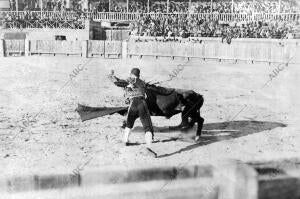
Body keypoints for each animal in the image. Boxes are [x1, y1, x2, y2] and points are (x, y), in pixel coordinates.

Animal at [76, 83, 205, 141]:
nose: (126, 99)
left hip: (189, 112)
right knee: (190, 122)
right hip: (190, 112)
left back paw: (195, 136)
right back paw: (184, 131)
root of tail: (198, 94)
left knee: (197, 121)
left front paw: (124, 124)